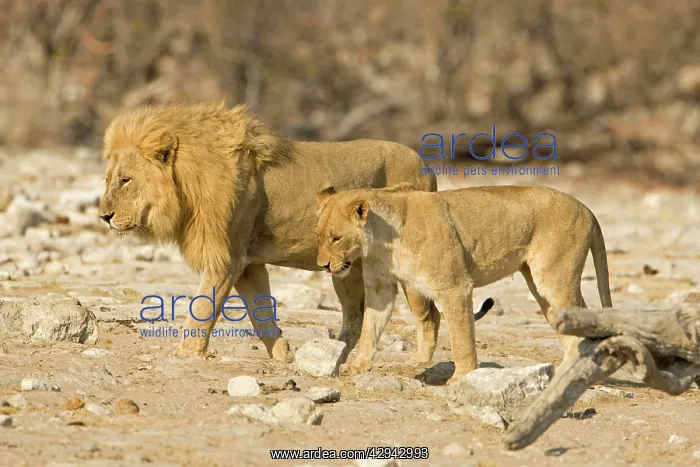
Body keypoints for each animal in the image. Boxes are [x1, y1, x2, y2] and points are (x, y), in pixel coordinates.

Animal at [97, 102, 447, 363]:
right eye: (109, 179)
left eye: (126, 180)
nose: (104, 216)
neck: (189, 183)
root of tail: (425, 165)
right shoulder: (247, 264)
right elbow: (261, 313)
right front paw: (283, 355)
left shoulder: (227, 258)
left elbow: (203, 308)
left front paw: (186, 353)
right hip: (345, 269)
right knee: (356, 317)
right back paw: (335, 356)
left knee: (430, 316)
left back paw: (419, 363)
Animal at [315, 182, 612, 381]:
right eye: (319, 235)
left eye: (336, 238)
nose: (323, 265)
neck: (382, 242)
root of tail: (587, 209)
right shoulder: (380, 288)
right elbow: (370, 329)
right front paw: (357, 366)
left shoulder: (455, 287)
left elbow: (461, 337)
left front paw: (462, 377)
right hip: (542, 289)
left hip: (554, 279)